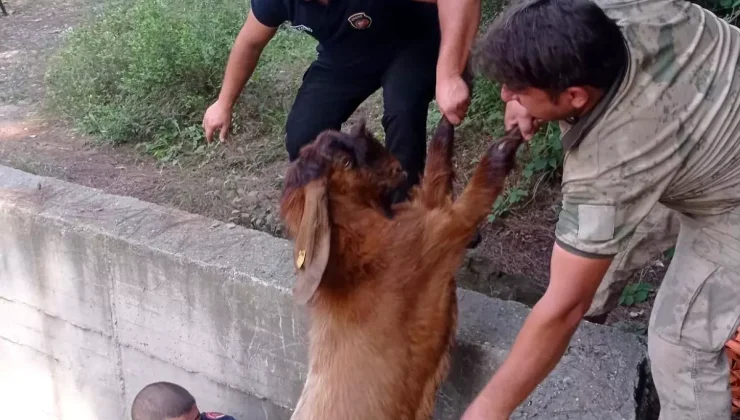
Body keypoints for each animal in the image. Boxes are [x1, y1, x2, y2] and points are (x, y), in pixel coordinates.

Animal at [278, 115, 528, 420]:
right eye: (346, 162)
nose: (397, 167)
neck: (359, 258)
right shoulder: (433, 237)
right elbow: (471, 201)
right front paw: (507, 142)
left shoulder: (420, 215)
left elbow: (434, 177)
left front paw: (446, 121)